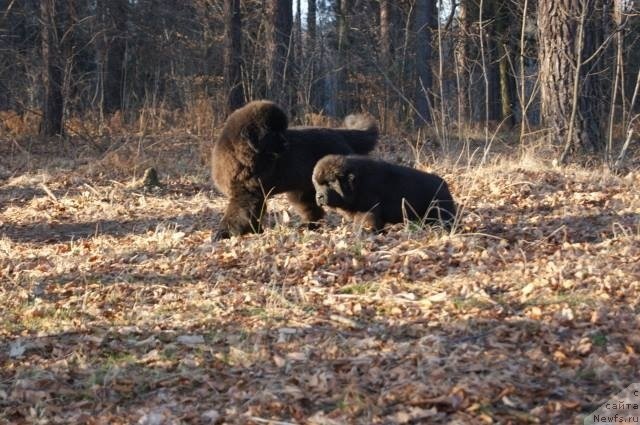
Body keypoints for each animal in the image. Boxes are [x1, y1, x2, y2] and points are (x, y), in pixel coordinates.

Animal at [212, 100, 378, 238]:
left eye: (281, 130)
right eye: (273, 132)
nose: (286, 144)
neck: (240, 155)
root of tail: (339, 133)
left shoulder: (247, 194)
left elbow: (237, 214)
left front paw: (223, 233)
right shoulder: (253, 194)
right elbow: (253, 214)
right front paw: (256, 231)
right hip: (303, 190)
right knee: (314, 209)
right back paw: (309, 226)